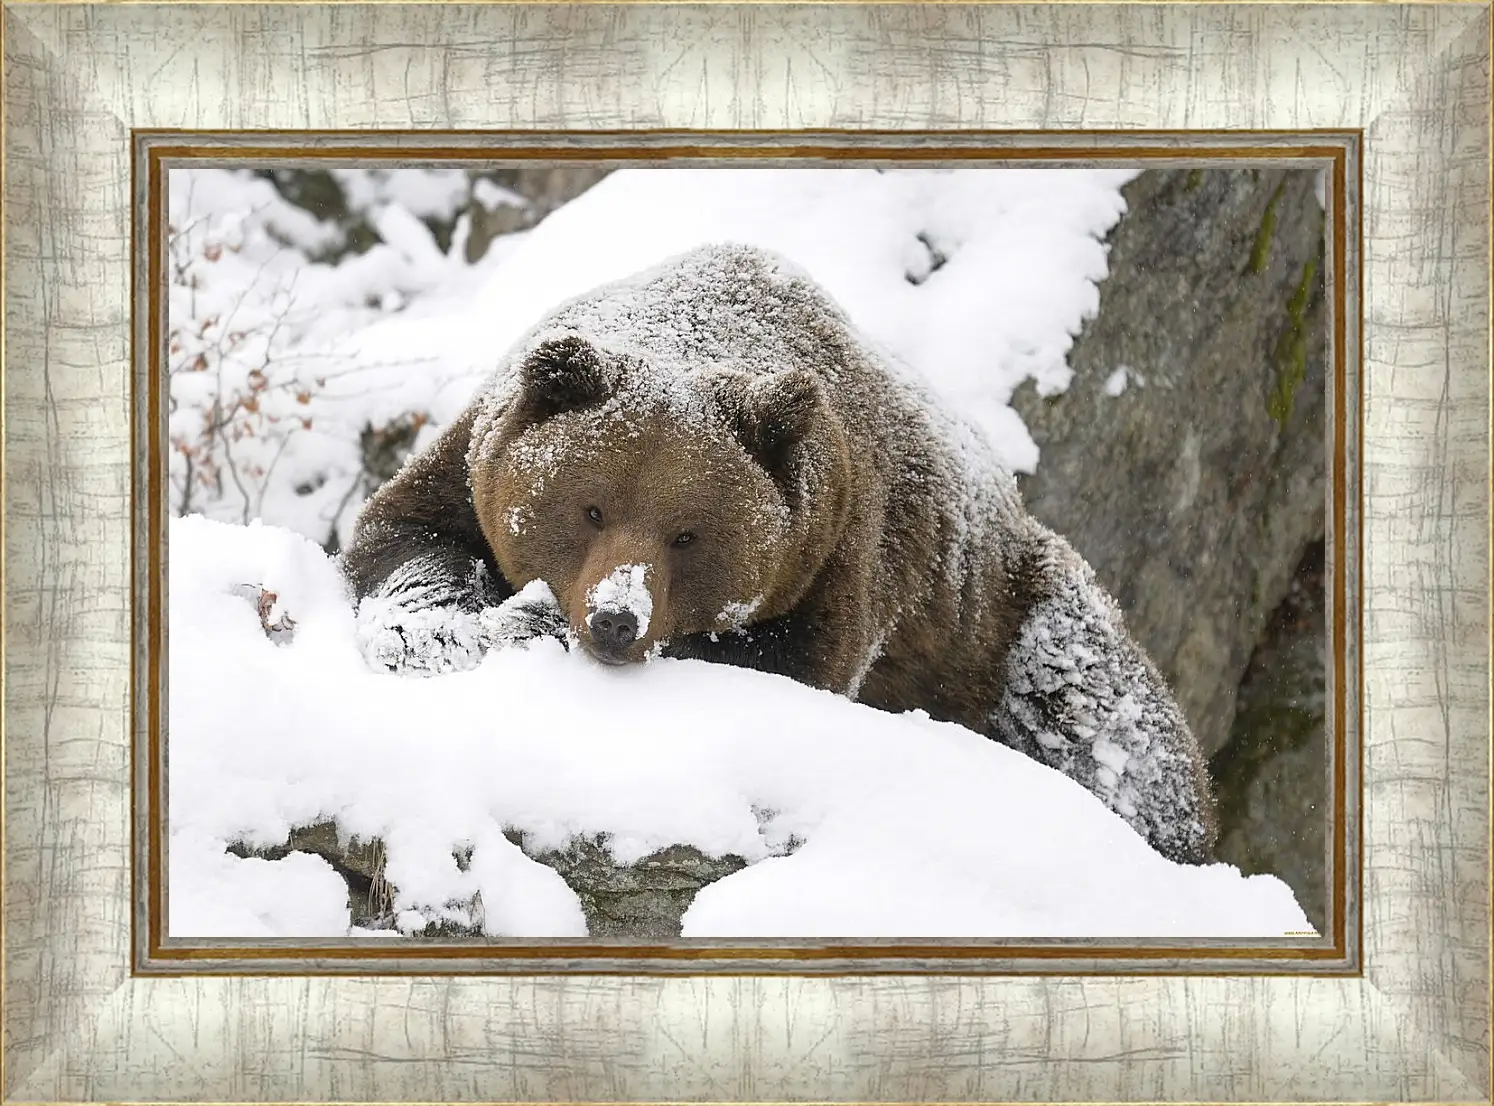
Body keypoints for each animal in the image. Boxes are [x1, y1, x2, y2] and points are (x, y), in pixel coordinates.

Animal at [343, 242, 1219, 866]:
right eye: (590, 507)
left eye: (688, 532)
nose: (616, 619)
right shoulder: (471, 462)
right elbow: (405, 538)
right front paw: (438, 628)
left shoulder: (840, 553)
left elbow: (784, 662)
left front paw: (531, 625)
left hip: (1007, 623)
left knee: (1109, 727)